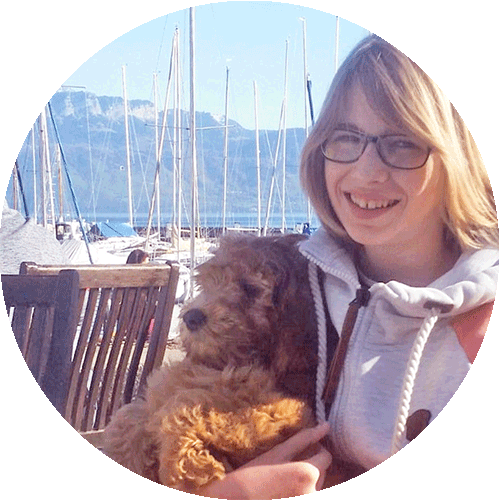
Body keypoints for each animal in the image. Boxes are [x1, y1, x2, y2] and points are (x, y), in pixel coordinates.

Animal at [102, 234, 336, 492]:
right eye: (207, 283)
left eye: (250, 288)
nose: (191, 317)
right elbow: (132, 415)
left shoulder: (285, 414)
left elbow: (191, 406)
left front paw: (190, 467)